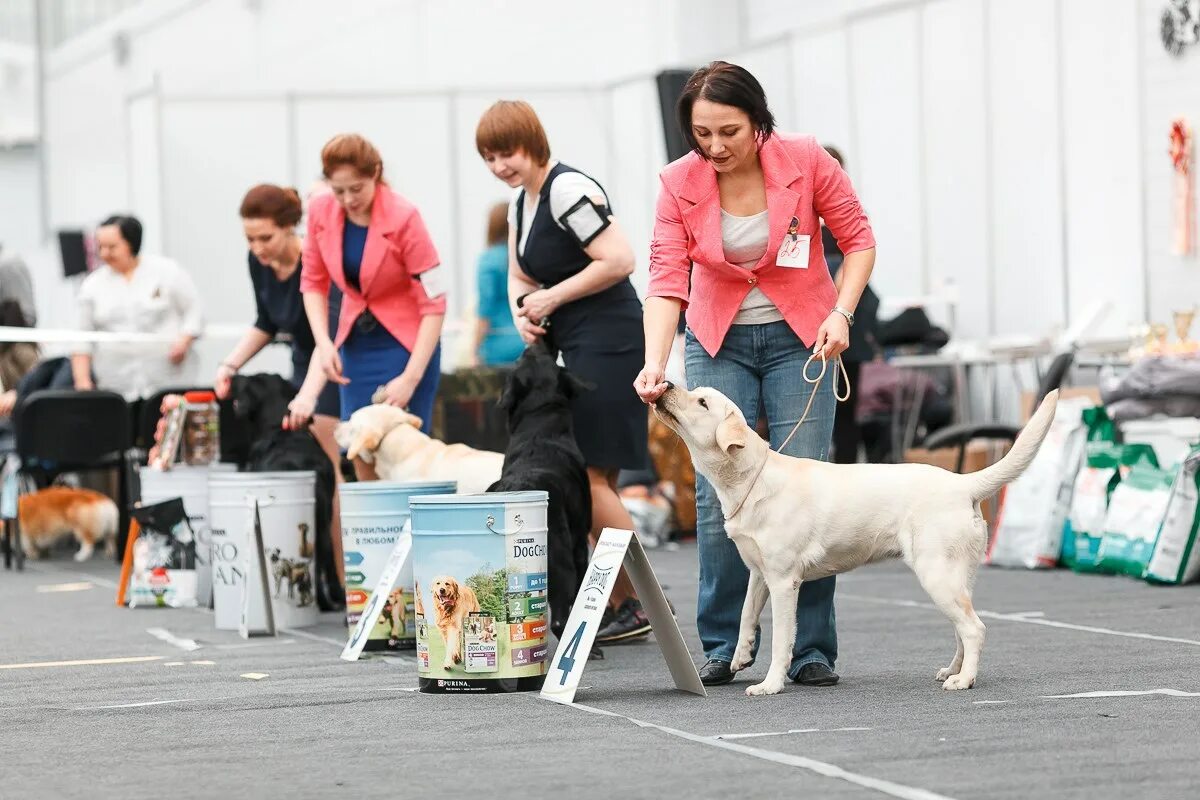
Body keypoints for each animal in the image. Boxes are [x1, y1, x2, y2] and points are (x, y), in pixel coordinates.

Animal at [652, 383, 1056, 695]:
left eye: (702, 403)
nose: (666, 385)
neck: (751, 479)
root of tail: (963, 483)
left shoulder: (784, 581)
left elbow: (783, 639)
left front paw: (770, 684)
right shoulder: (759, 573)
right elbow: (745, 615)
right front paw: (740, 656)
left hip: (936, 573)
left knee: (974, 628)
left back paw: (964, 680)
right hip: (957, 575)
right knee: (963, 627)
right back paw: (952, 670)